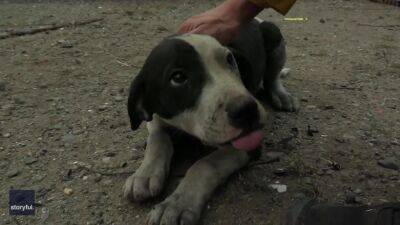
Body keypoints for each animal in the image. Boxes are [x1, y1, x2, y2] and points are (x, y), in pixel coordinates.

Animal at [124, 18, 296, 225]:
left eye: (230, 59)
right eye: (178, 77)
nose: (247, 110)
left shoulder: (249, 143)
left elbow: (204, 164)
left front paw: (176, 204)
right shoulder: (157, 118)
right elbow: (157, 139)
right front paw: (144, 174)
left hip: (274, 34)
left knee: (272, 77)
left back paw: (280, 94)